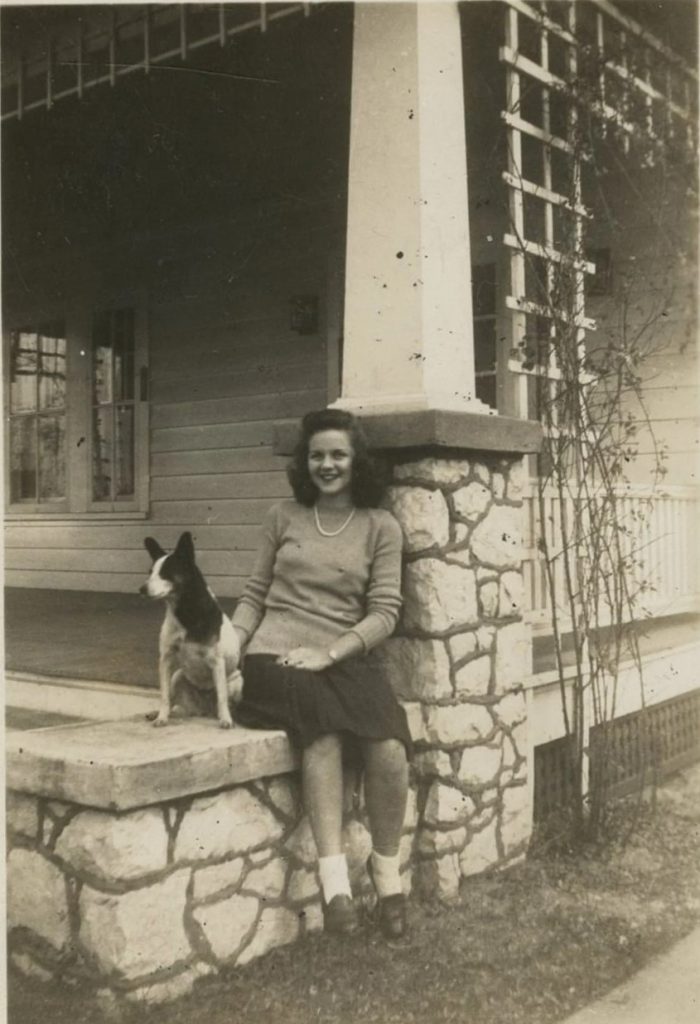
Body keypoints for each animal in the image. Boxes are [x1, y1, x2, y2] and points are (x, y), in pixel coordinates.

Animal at [139, 528, 243, 729]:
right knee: (172, 699)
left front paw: (226, 719)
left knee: (224, 699)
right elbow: (164, 696)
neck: (185, 613)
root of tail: (203, 710)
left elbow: (221, 697)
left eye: (166, 572)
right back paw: (159, 713)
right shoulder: (166, 659)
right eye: (150, 572)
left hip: (237, 681)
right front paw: (161, 717)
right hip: (178, 676)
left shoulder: (217, 662)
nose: (142, 589)